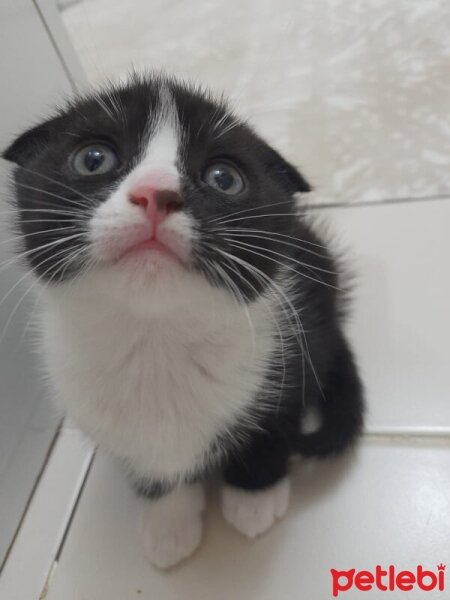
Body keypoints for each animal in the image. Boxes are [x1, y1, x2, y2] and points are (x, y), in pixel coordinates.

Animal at [2, 72, 362, 568]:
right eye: (94, 159)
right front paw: (168, 525)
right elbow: (154, 468)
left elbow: (275, 422)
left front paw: (254, 495)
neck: (154, 341)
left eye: (224, 178)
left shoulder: (290, 351)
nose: (156, 192)